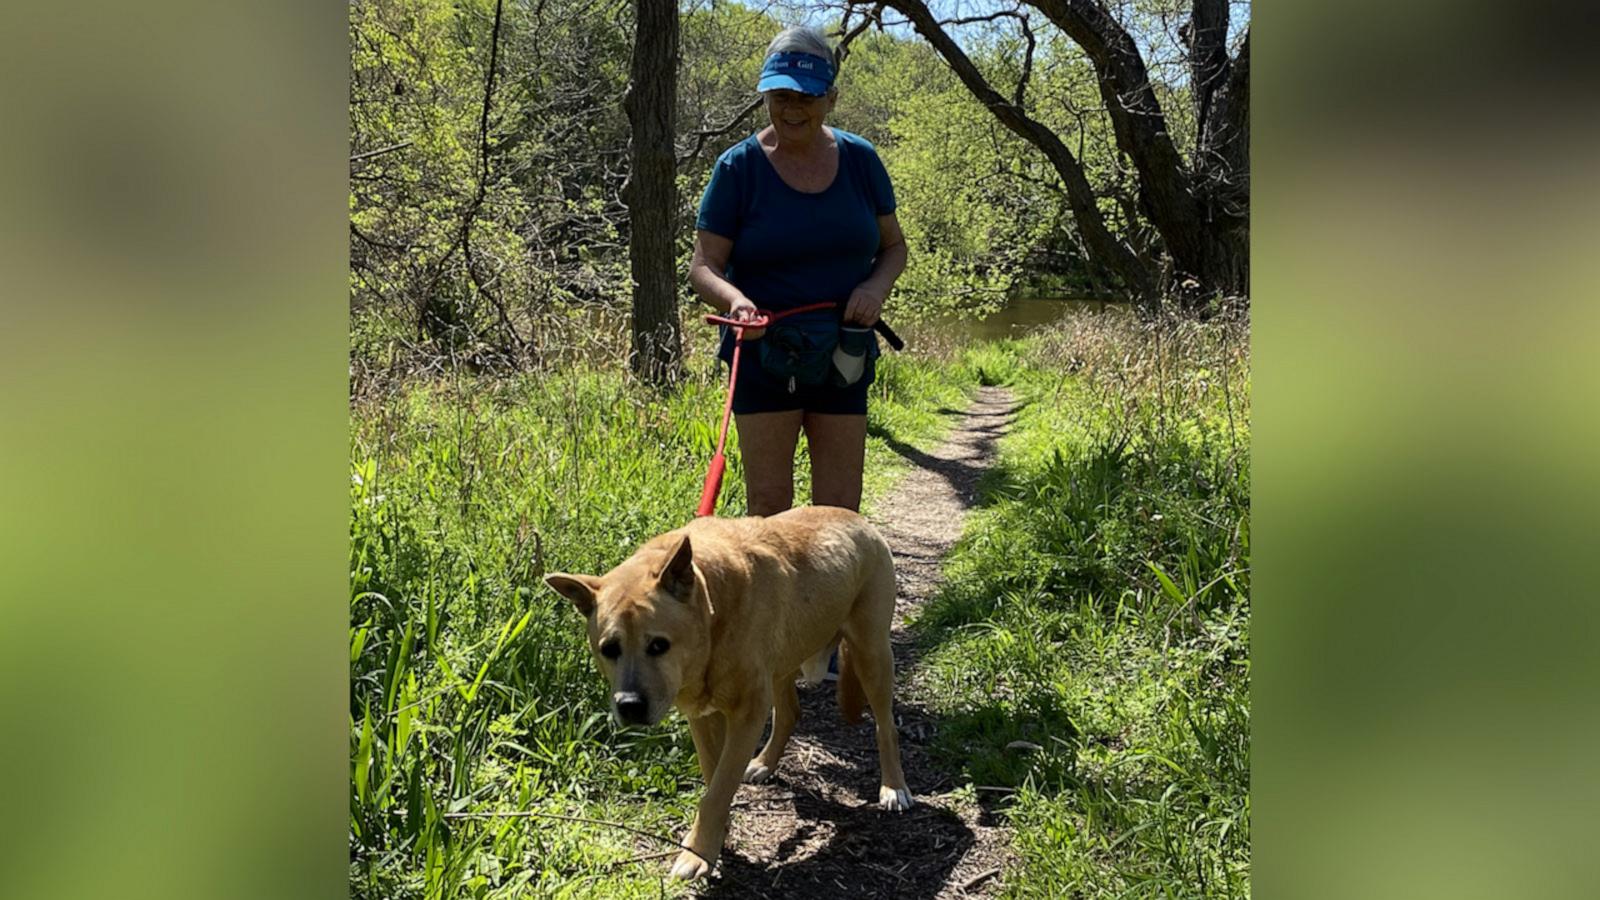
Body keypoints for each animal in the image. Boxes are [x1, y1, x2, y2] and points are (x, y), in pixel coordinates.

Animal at [544, 506, 915, 877]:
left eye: (659, 645)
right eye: (609, 649)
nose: (630, 706)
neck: (713, 610)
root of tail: (856, 519)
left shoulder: (747, 714)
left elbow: (717, 791)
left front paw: (697, 853)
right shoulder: (702, 716)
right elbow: (713, 779)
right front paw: (715, 837)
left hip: (872, 654)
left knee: (885, 726)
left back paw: (894, 787)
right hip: (782, 664)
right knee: (790, 713)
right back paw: (764, 762)